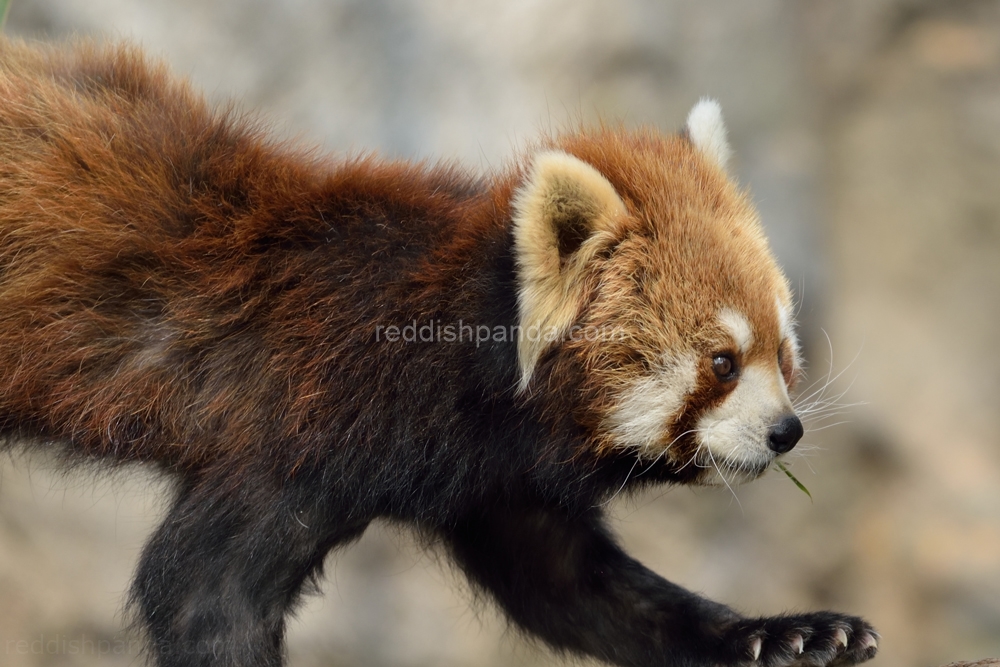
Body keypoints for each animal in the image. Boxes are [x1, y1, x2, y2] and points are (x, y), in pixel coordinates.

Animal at [0, 39, 876, 667]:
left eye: (783, 352)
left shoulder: (495, 471)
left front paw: (780, 634)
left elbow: (574, 586)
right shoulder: (303, 417)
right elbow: (198, 588)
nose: (787, 431)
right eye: (722, 362)